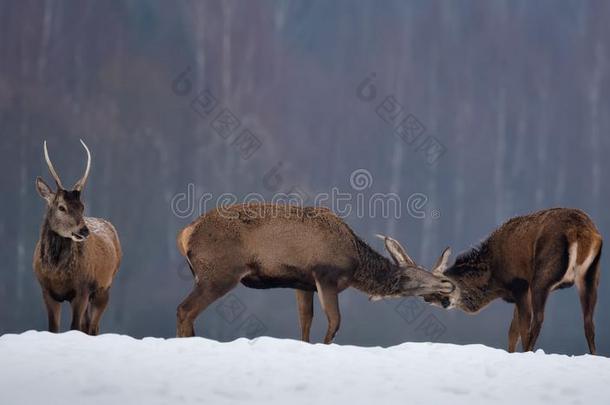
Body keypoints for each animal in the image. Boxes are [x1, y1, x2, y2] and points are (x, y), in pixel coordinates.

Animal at [33, 139, 121, 334]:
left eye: (82, 206)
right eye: (61, 207)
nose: (84, 231)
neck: (57, 275)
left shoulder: (82, 290)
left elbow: (75, 327)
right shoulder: (46, 290)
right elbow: (53, 328)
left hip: (104, 288)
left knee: (93, 327)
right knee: (87, 325)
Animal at [175, 204, 452, 342]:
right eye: (414, 276)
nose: (447, 285)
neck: (355, 264)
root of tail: (184, 234)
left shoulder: (303, 283)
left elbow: (305, 322)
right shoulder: (325, 274)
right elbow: (335, 321)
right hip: (220, 272)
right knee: (185, 309)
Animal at [420, 208, 600, 354]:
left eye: (441, 284)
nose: (427, 299)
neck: (495, 281)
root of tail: (579, 232)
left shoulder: (520, 283)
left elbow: (522, 327)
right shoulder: (521, 292)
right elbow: (513, 331)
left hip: (542, 275)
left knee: (538, 319)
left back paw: (529, 351)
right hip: (591, 275)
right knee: (588, 322)